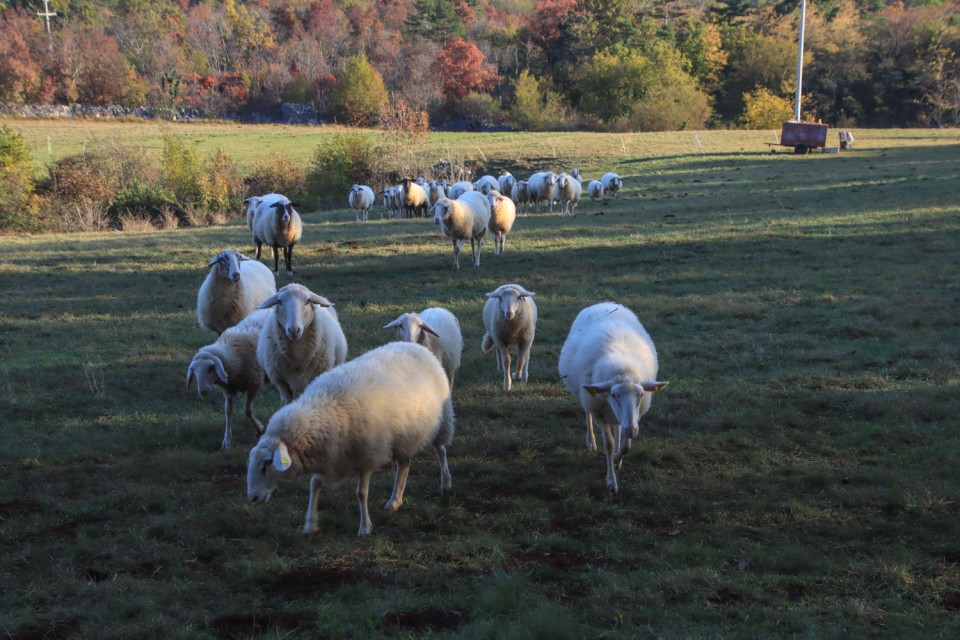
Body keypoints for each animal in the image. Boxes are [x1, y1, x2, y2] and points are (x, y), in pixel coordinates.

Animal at [188, 310, 270, 450]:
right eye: (194, 371)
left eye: (210, 368)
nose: (203, 391)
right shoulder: (228, 389)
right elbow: (228, 411)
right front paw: (227, 439)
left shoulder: (255, 383)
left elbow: (248, 411)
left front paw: (259, 428)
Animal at [248, 342, 458, 536]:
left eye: (267, 463)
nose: (253, 497)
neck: (326, 409)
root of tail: (414, 345)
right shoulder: (333, 459)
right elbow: (314, 484)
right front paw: (310, 524)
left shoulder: (367, 456)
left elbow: (361, 493)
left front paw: (365, 527)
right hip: (402, 438)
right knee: (404, 466)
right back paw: (395, 500)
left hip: (441, 421)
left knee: (441, 450)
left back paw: (446, 483)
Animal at [556, 302, 668, 496]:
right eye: (614, 395)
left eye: (640, 395)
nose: (631, 430)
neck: (623, 370)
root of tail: (604, 303)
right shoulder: (599, 412)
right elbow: (608, 444)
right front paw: (611, 481)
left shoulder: (635, 416)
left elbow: (626, 446)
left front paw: (617, 459)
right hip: (586, 397)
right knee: (588, 415)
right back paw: (591, 441)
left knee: (617, 427)